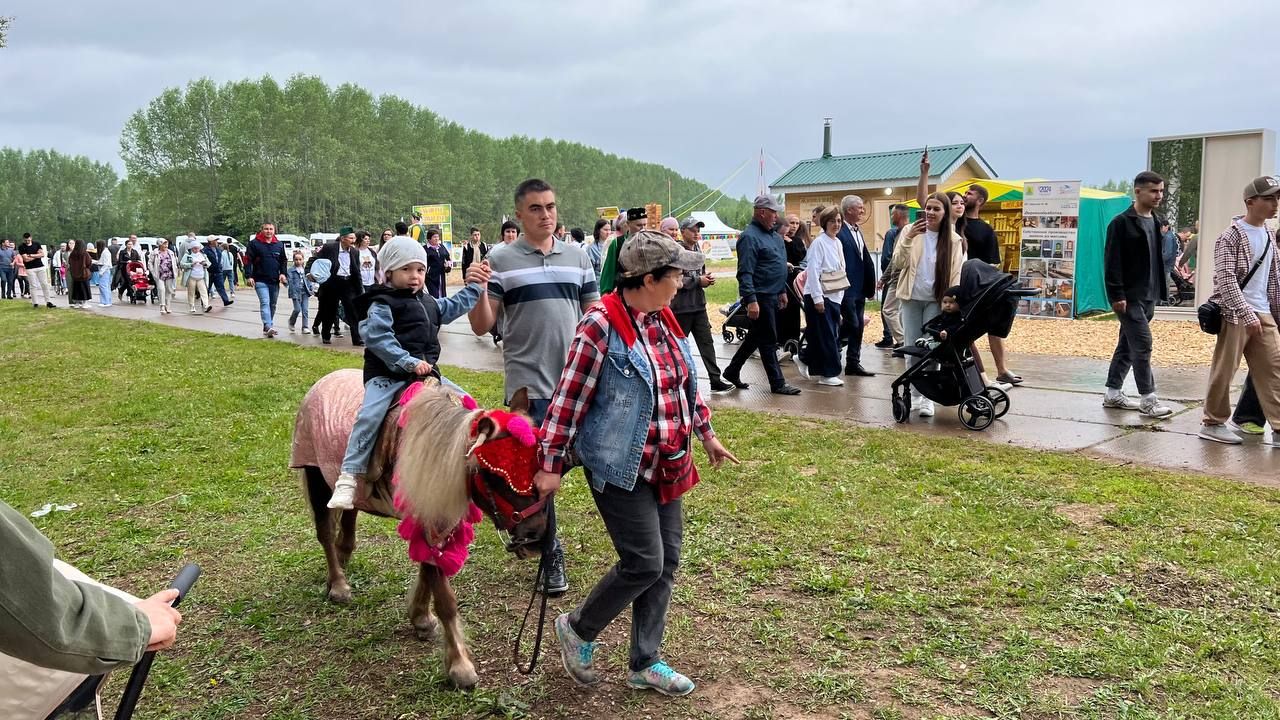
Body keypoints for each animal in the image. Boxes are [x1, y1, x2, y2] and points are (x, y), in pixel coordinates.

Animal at [290, 366, 545, 686]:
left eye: (539, 466)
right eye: (496, 475)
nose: (535, 537)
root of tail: (323, 381)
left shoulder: (436, 518)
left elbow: (427, 568)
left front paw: (421, 618)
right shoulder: (428, 519)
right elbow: (445, 597)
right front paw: (460, 666)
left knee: (348, 517)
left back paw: (343, 557)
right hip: (315, 474)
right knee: (325, 532)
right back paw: (338, 584)